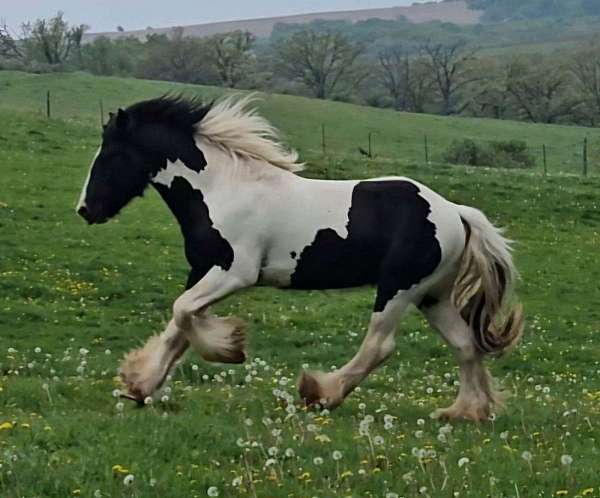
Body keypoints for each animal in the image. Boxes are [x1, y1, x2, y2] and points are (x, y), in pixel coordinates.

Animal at [77, 94, 524, 420]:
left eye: (111, 155)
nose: (85, 209)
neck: (222, 189)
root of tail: (456, 213)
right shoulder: (203, 270)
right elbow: (178, 325)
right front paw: (139, 384)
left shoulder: (234, 272)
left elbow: (184, 313)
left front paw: (229, 347)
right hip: (432, 296)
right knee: (465, 344)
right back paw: (465, 412)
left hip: (399, 289)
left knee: (380, 346)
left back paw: (320, 393)